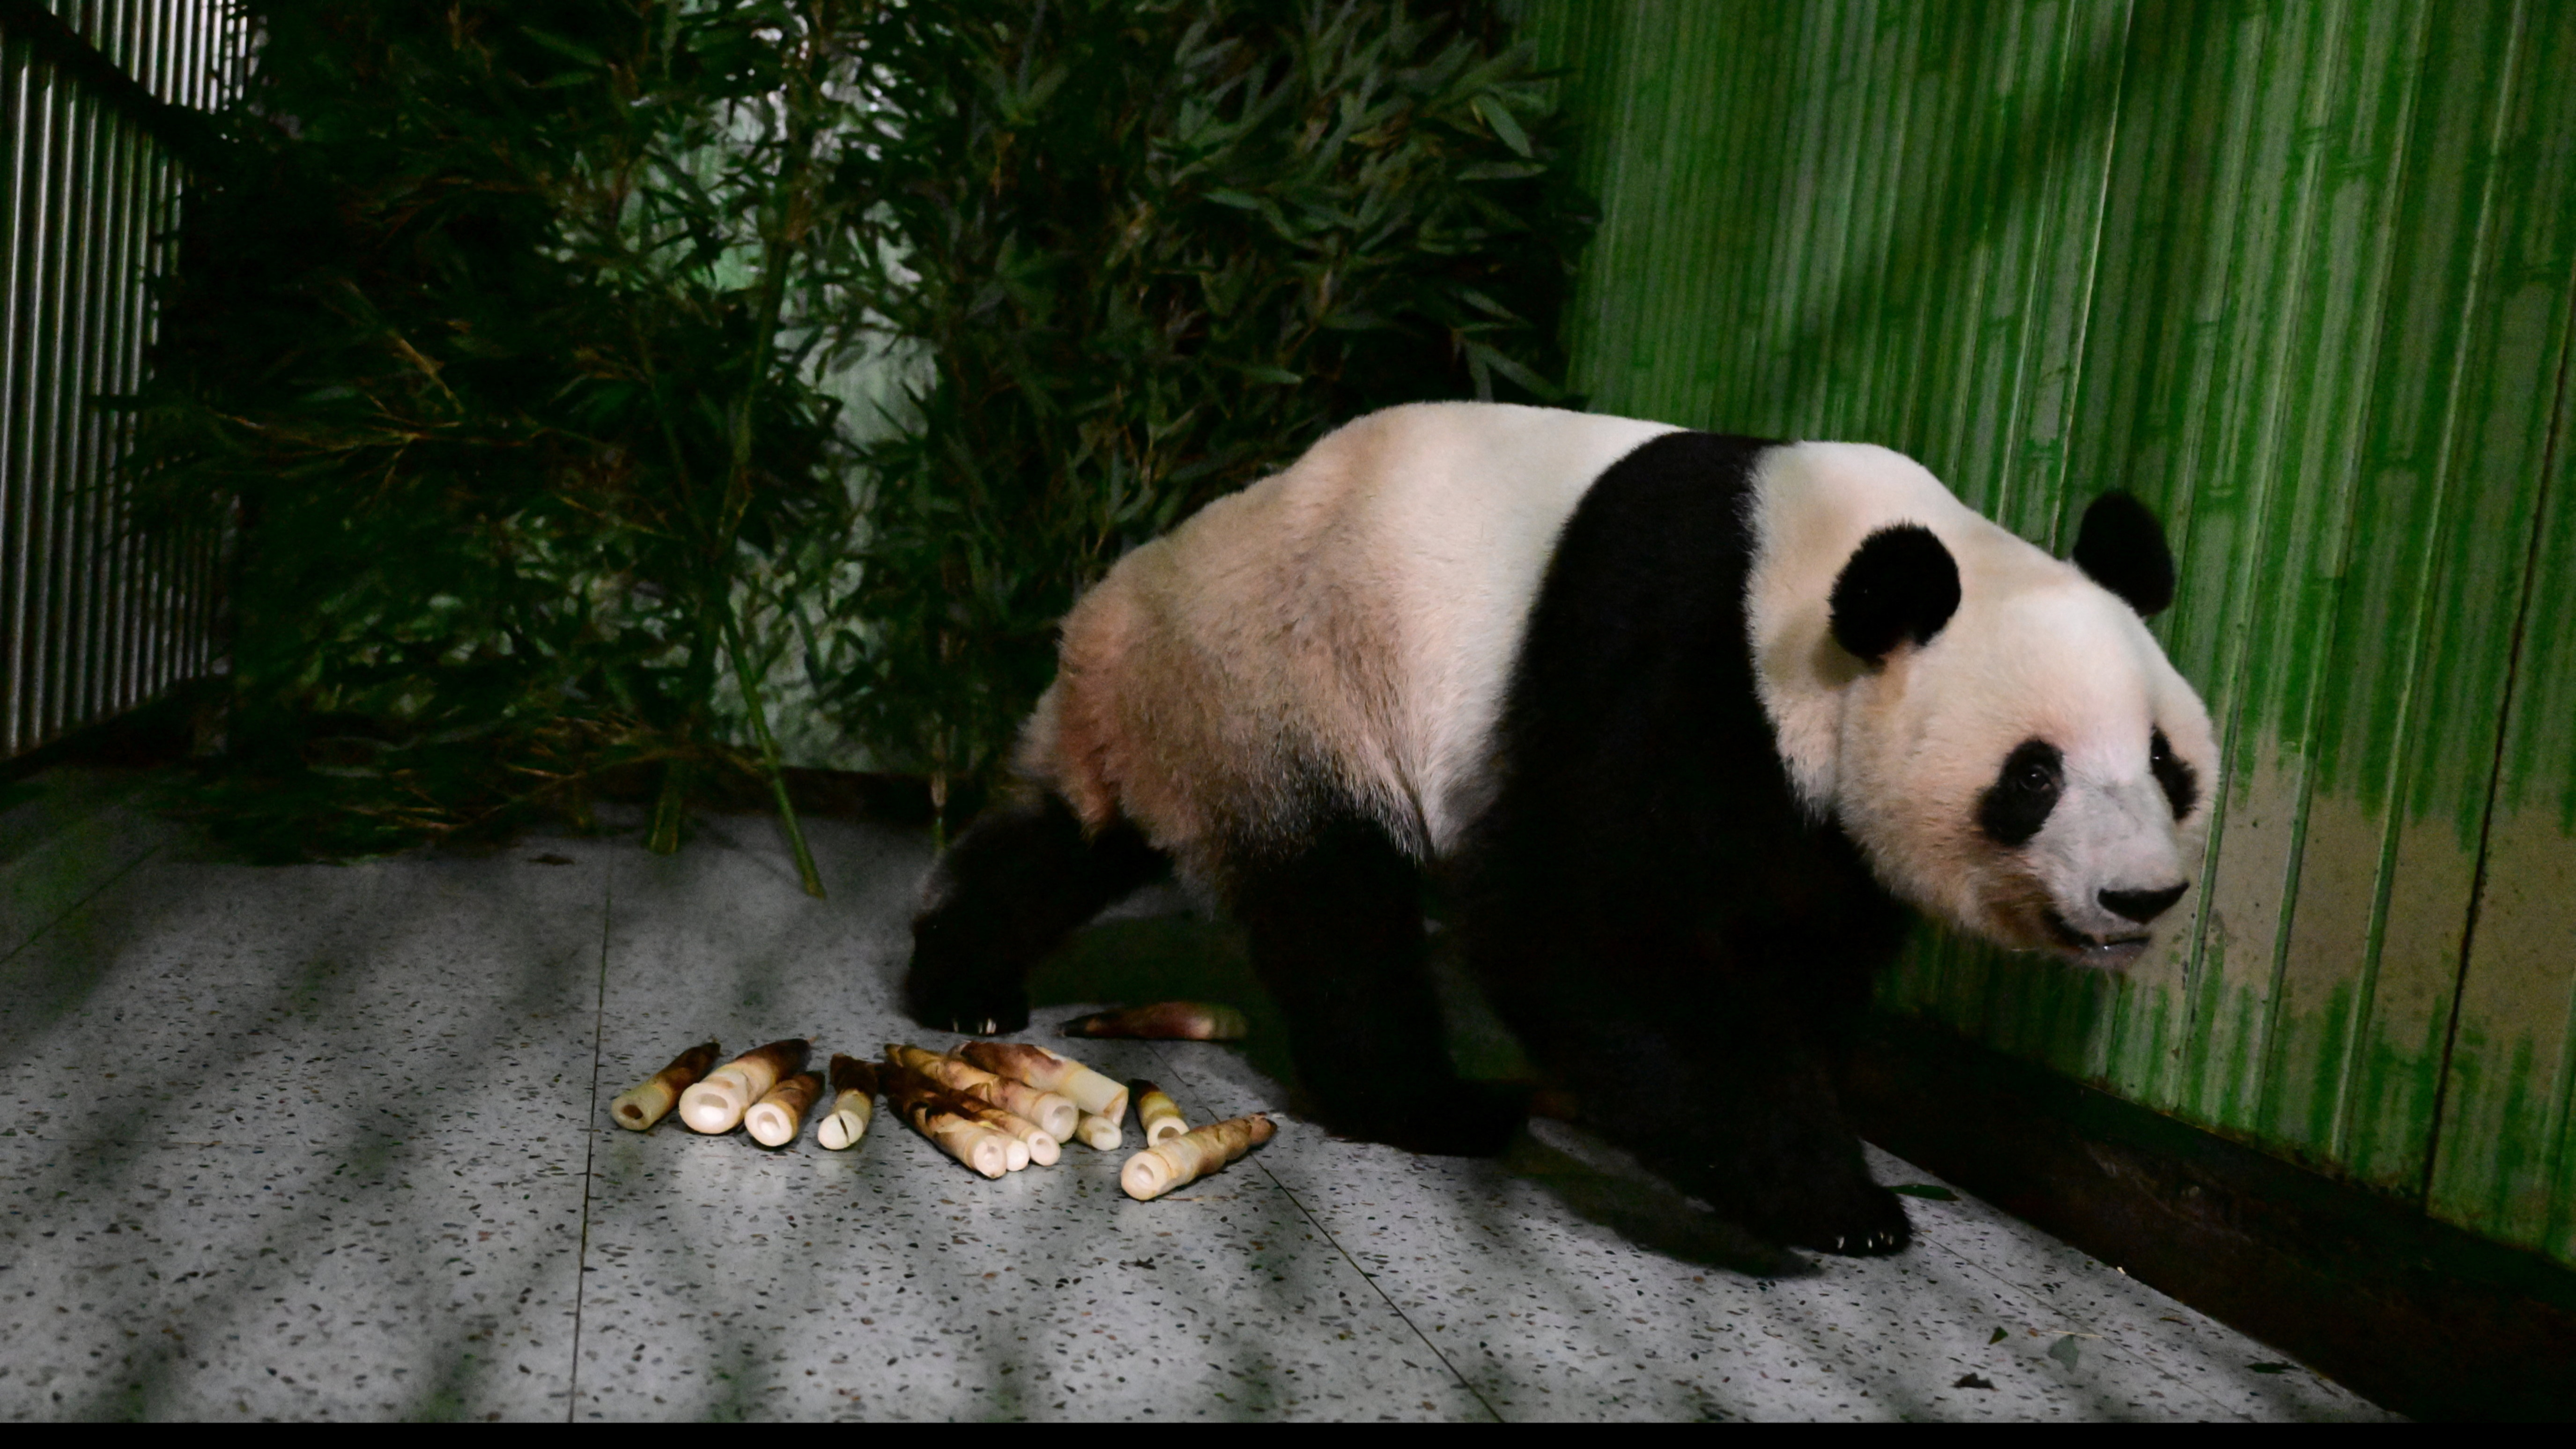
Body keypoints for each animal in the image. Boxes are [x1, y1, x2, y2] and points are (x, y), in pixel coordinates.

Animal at [906, 402, 2217, 1255]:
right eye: (2033, 775)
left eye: (2166, 763)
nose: (2140, 896)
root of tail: (1111, 611)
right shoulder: (1673, 651)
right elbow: (1578, 916)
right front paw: (1829, 1198)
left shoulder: (1818, 818)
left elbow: (1797, 945)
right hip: (1283, 686)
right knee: (1338, 912)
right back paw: (1431, 1106)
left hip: (1185, 719)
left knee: (1065, 841)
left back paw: (960, 978)